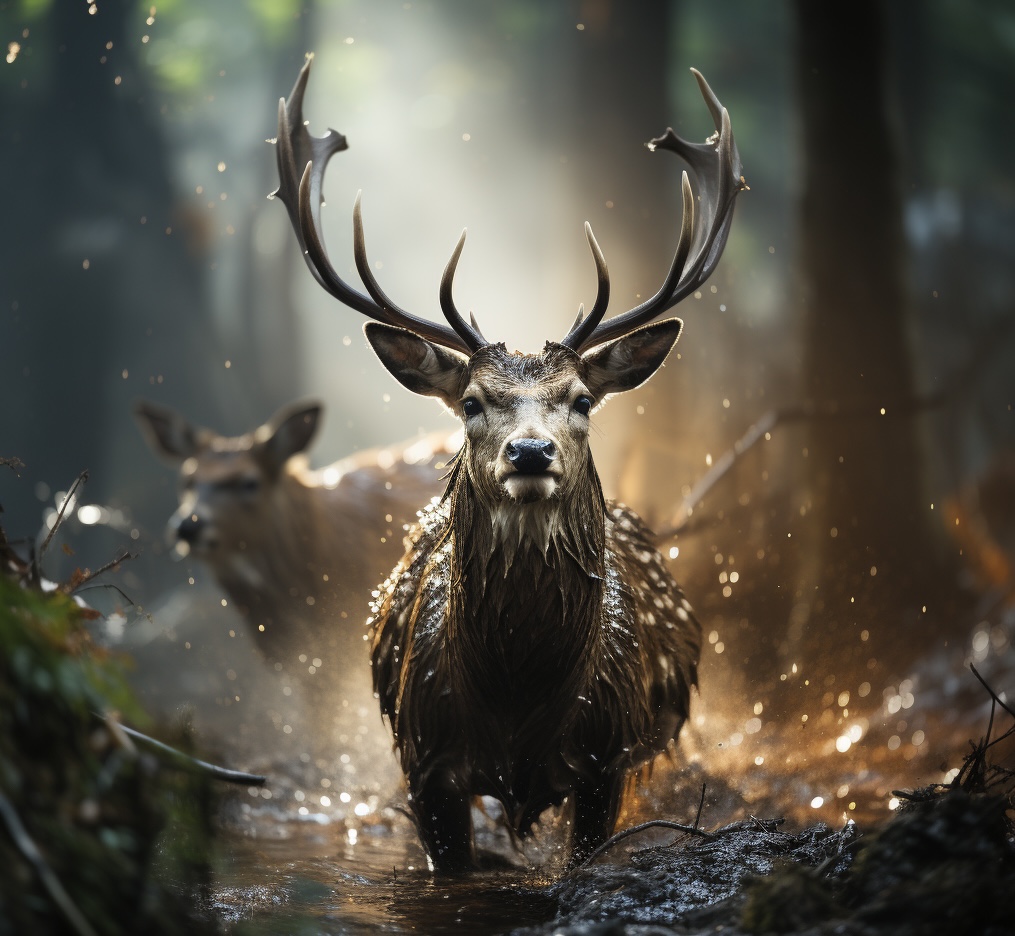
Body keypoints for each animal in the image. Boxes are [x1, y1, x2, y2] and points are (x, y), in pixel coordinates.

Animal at [271, 55, 745, 870]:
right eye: (470, 401)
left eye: (581, 399)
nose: (529, 450)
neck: (519, 699)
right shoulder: (427, 760)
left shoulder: (605, 761)